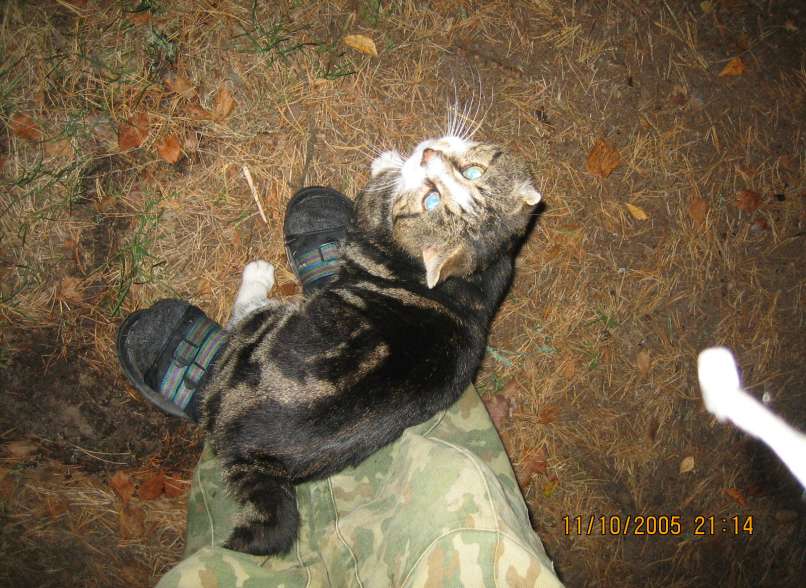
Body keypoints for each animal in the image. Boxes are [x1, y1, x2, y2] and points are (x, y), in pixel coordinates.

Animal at [202, 134, 543, 555]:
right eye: (472, 172)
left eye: (431, 200)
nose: (429, 154)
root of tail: (253, 458)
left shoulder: (369, 206)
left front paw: (389, 163)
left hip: (255, 335)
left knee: (240, 318)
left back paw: (257, 277)